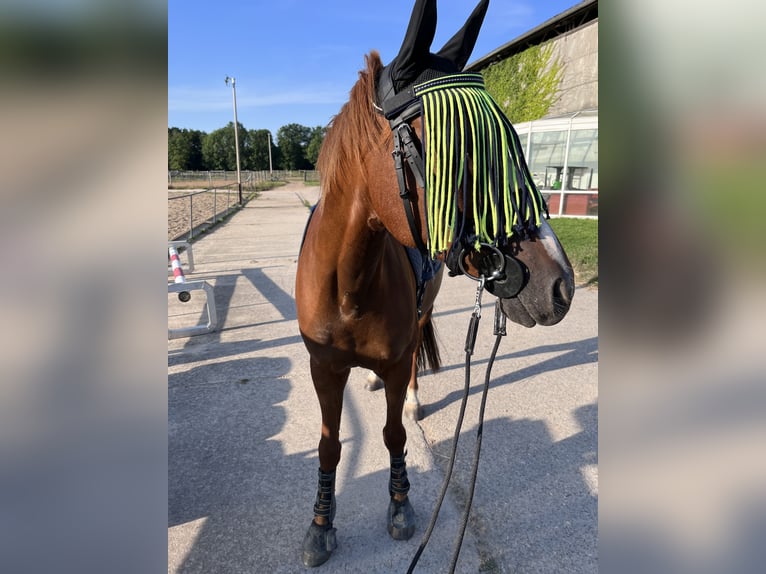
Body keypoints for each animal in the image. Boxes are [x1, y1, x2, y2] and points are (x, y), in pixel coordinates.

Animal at [296, 0, 572, 568]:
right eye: (458, 153)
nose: (561, 284)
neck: (348, 286)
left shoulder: (397, 356)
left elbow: (394, 433)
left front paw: (401, 504)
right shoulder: (323, 368)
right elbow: (330, 446)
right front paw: (321, 524)